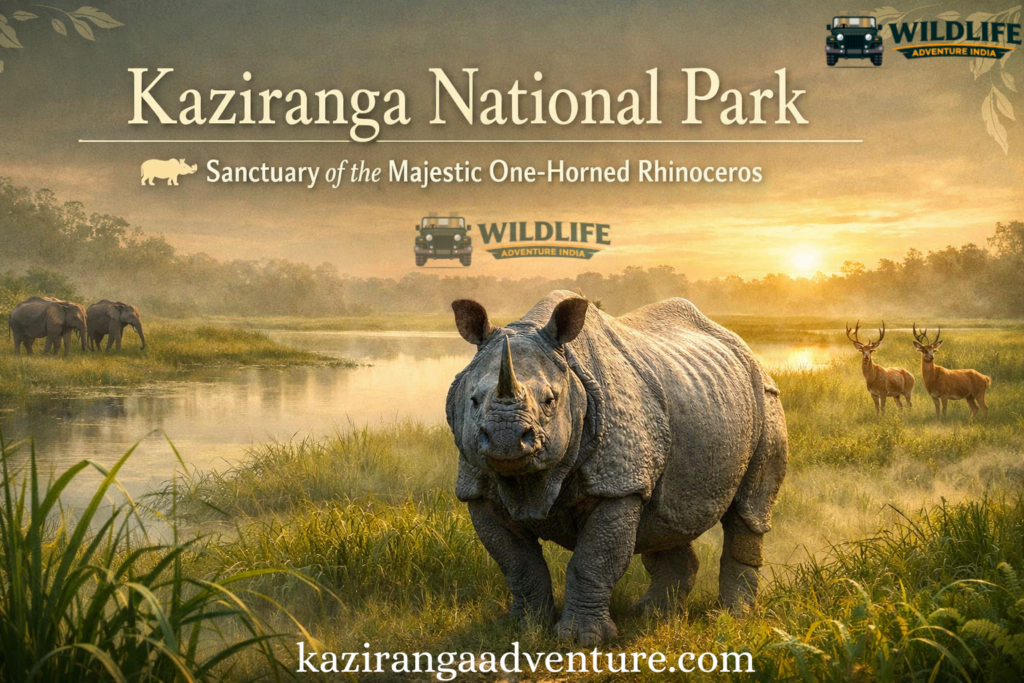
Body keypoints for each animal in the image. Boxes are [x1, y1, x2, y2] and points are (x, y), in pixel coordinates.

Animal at [447, 291, 788, 645]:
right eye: (473, 401)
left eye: (550, 401)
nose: (506, 440)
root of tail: (744, 347)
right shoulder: (479, 491)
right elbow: (518, 564)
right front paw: (524, 627)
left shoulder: (619, 485)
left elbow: (593, 560)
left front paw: (582, 639)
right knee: (665, 518)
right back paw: (653, 614)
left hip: (765, 398)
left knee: (748, 512)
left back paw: (732, 617)